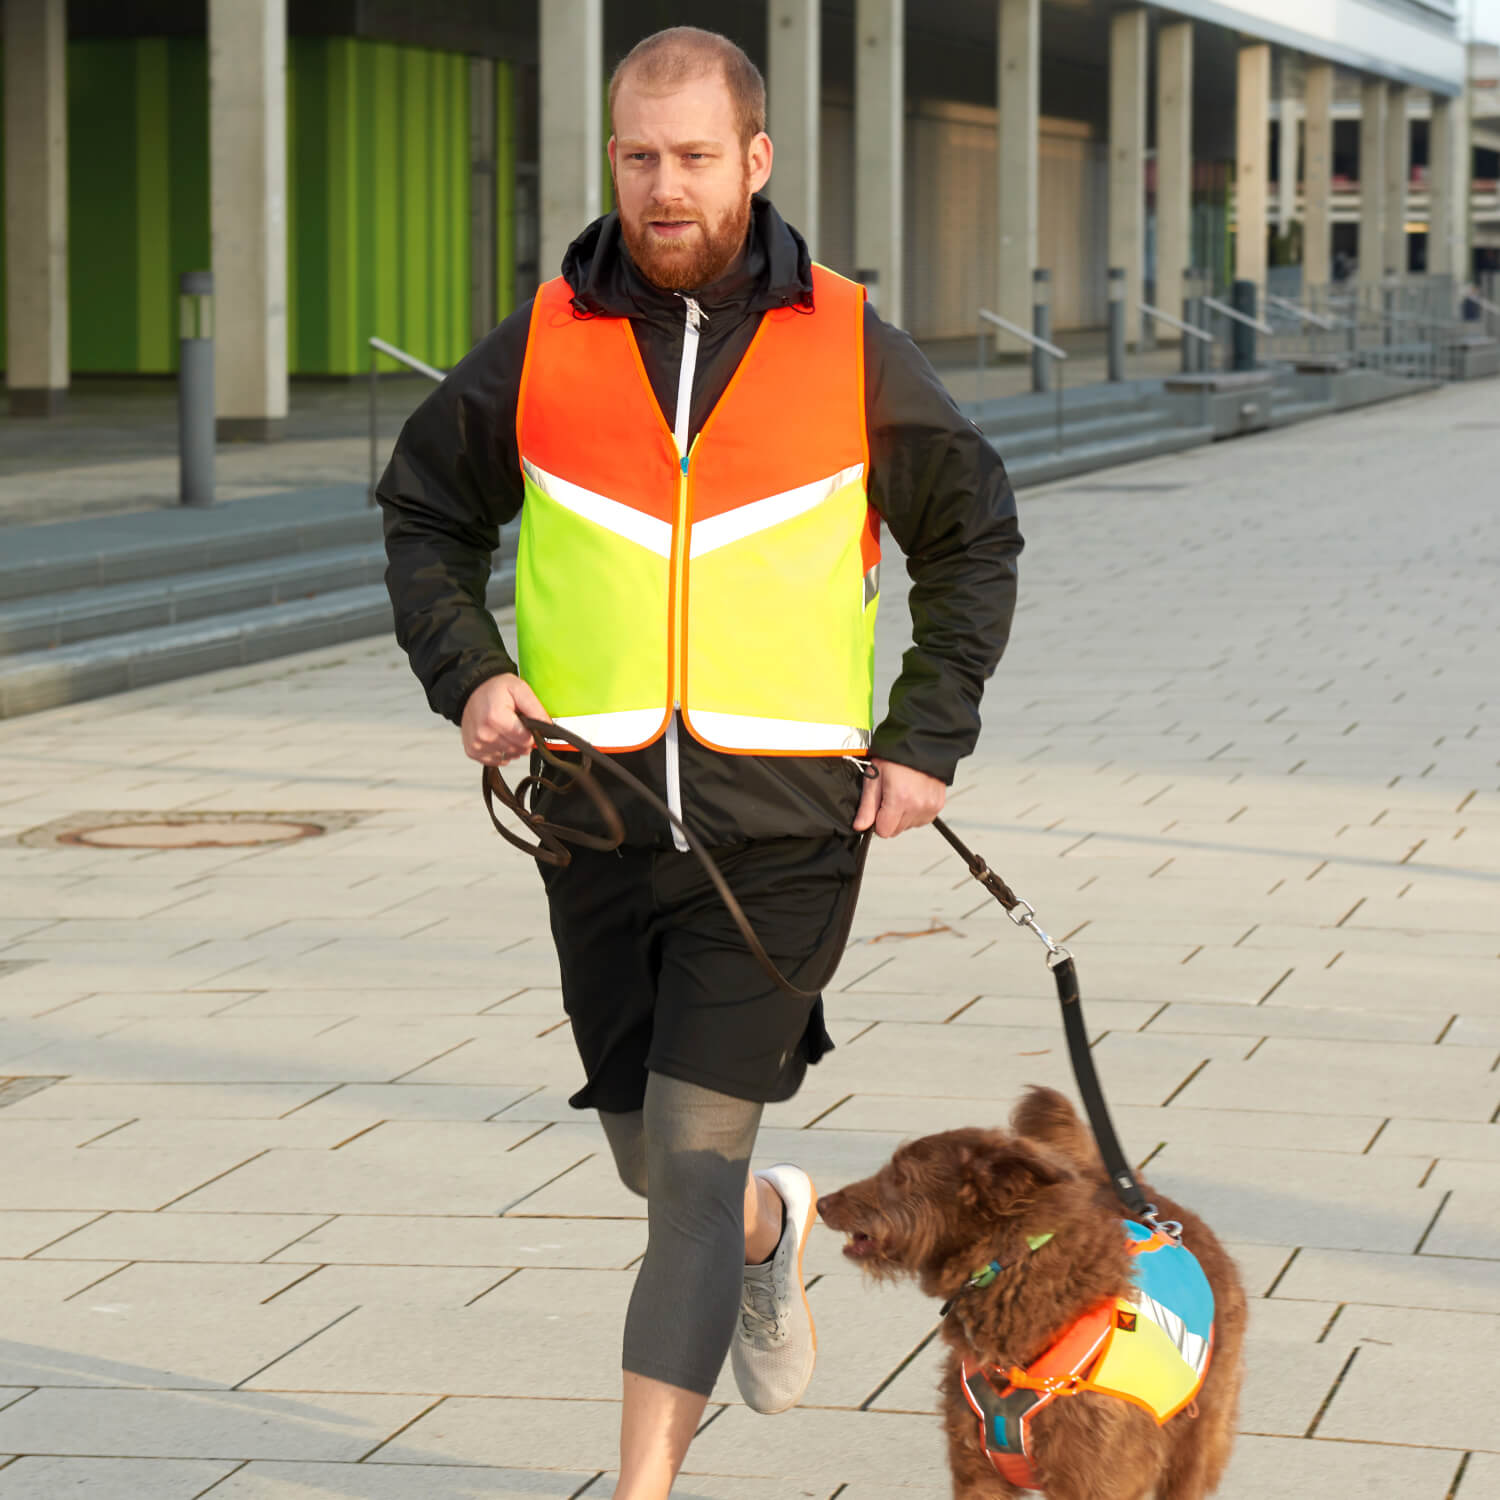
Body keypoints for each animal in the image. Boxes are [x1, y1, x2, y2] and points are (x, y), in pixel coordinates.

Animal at [816, 1092, 1248, 1500]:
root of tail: (1161, 1217)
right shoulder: (978, 1472)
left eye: (901, 1175)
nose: (821, 1202)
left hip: (1196, 1437)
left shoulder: (1095, 1478)